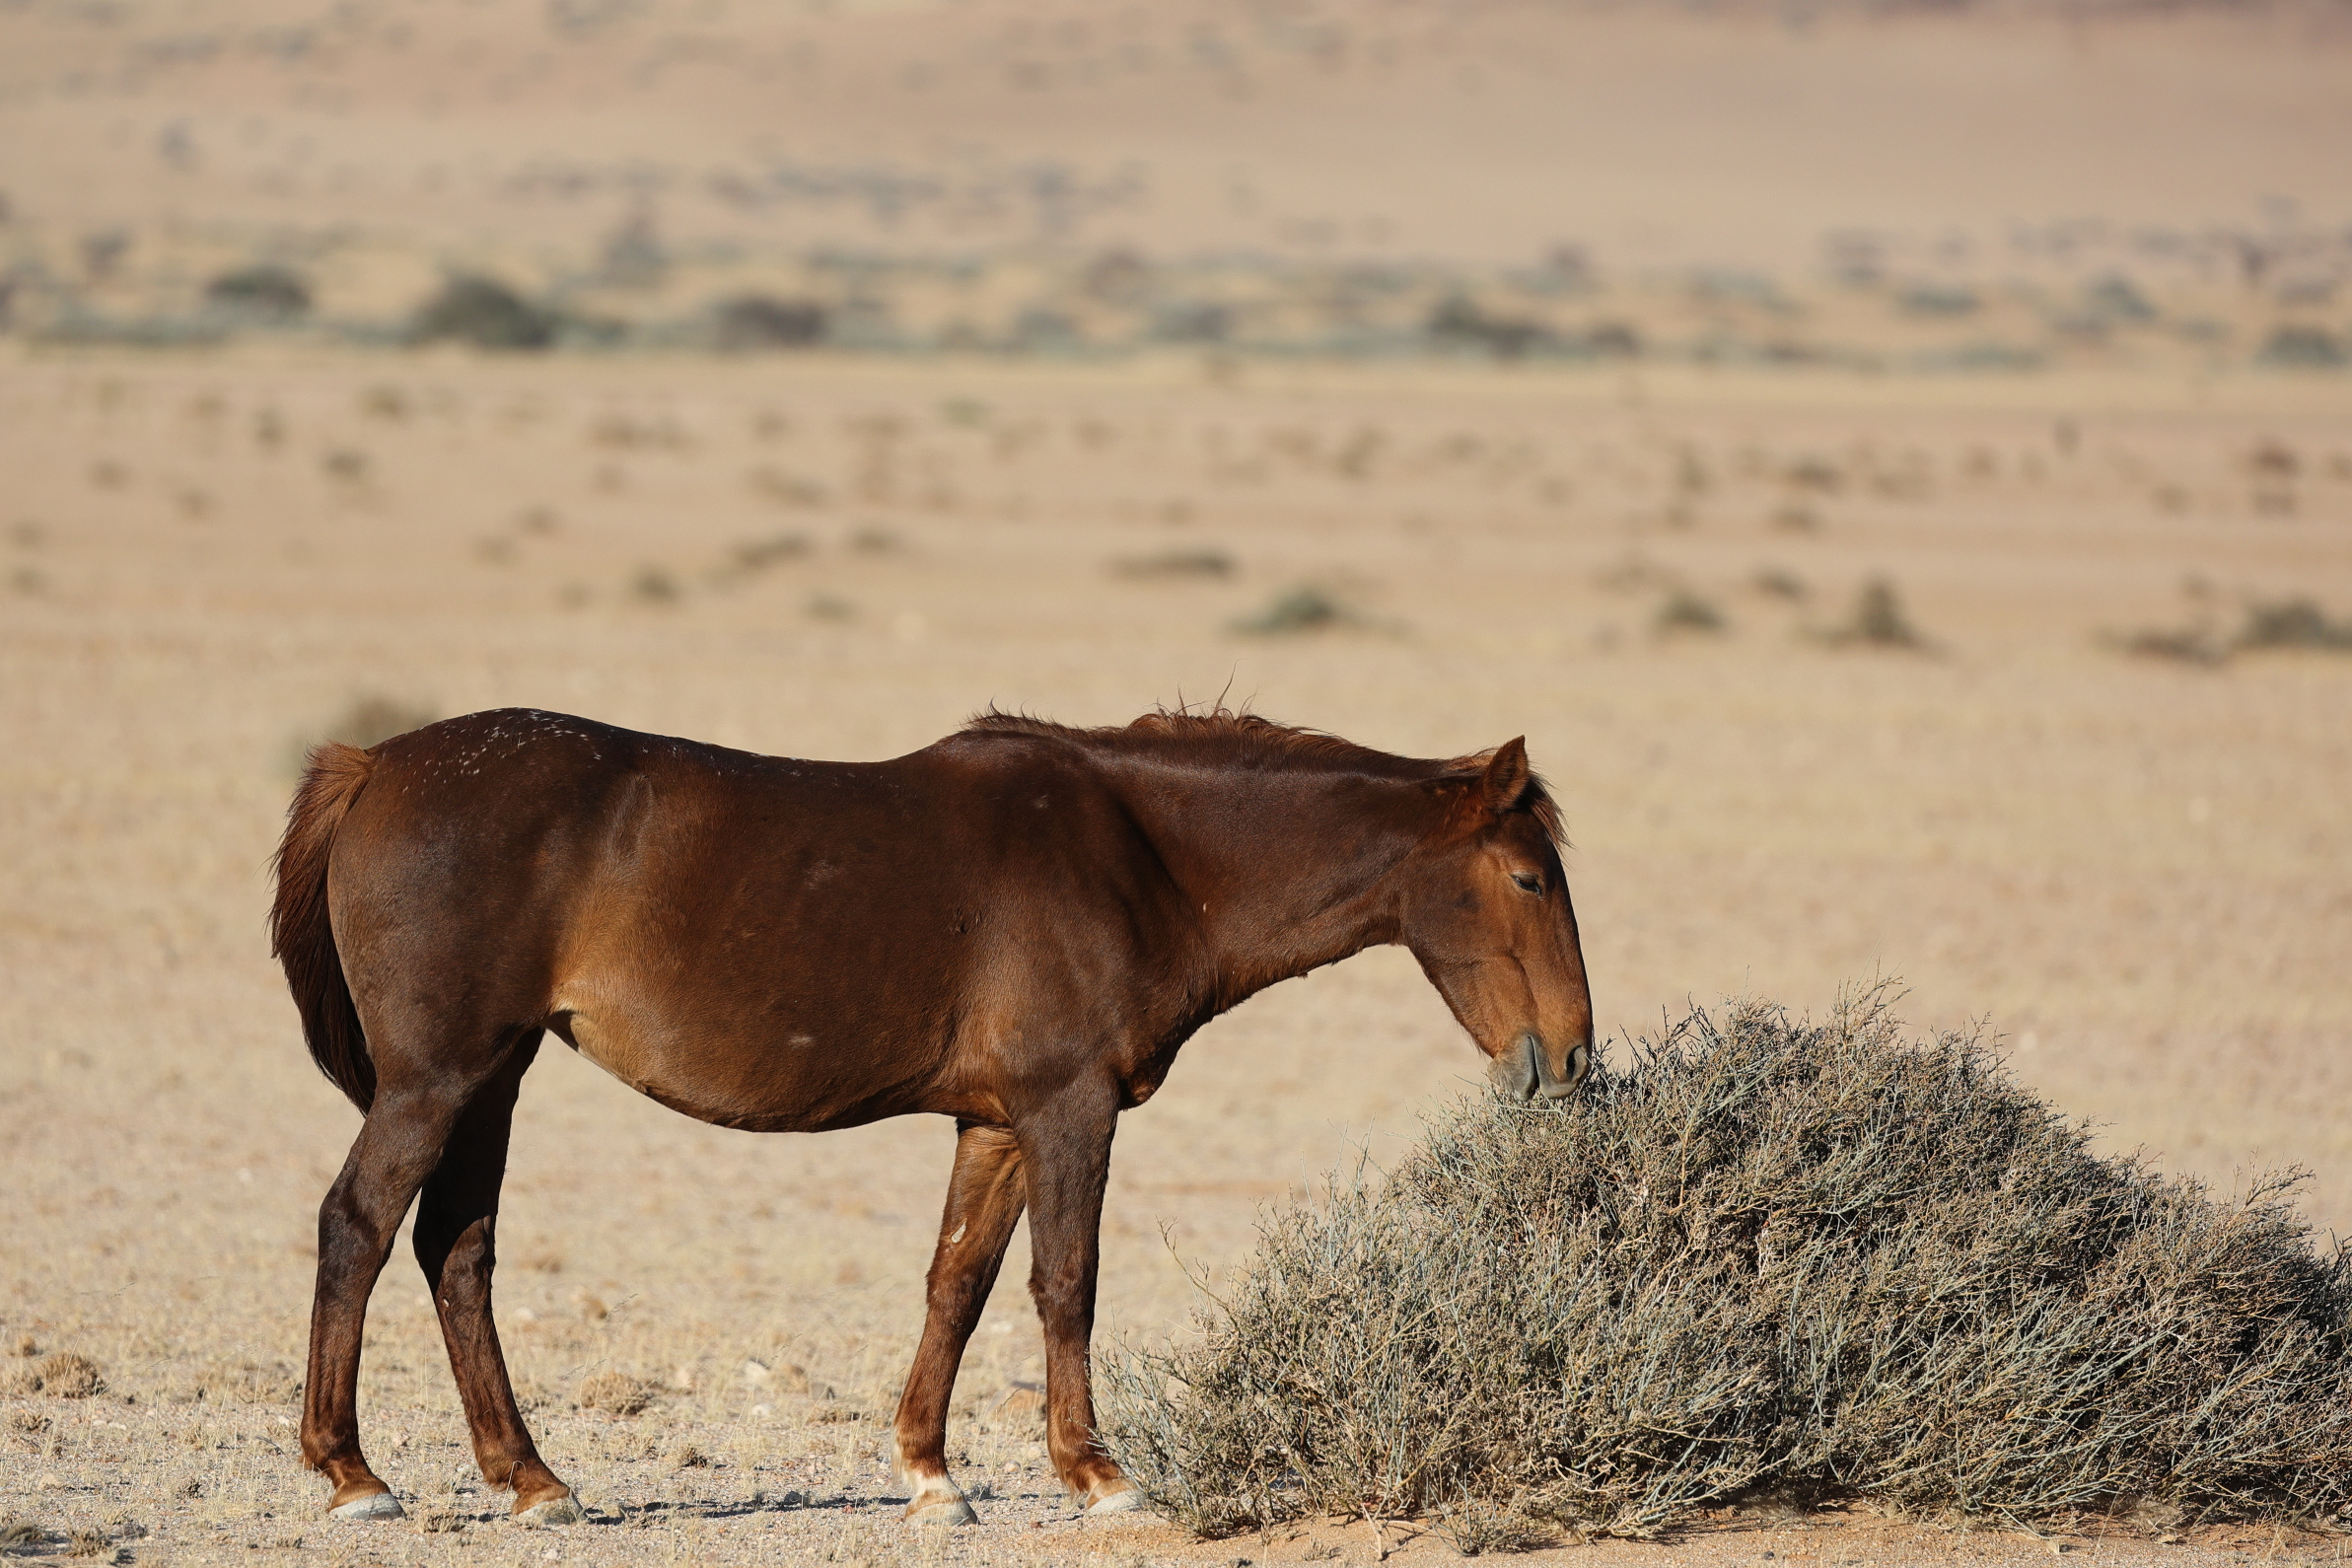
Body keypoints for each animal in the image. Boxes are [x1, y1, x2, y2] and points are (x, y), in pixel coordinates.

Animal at [269, 705, 1595, 1527]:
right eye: (1529, 877)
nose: (1573, 1061)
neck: (1143, 857)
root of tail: (374, 765)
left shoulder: (994, 1126)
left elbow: (956, 1284)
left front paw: (928, 1474)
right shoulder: (1069, 1113)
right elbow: (1066, 1283)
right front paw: (1096, 1472)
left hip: (492, 1079)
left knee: (457, 1252)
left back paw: (532, 1478)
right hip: (439, 1079)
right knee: (360, 1227)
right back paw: (353, 1473)